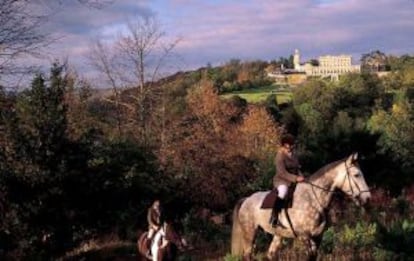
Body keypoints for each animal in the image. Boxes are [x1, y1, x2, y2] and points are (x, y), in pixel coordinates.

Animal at [231, 152, 370, 260]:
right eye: (357, 175)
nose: (367, 198)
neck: (314, 198)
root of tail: (246, 199)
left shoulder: (318, 237)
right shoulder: (304, 236)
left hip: (277, 234)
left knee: (270, 255)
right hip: (250, 233)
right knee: (247, 255)